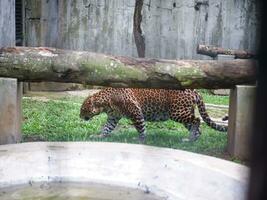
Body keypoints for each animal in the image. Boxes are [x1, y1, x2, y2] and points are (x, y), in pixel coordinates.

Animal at [80, 88, 228, 142]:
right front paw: (99, 136)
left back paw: (191, 138)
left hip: (177, 112)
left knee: (196, 120)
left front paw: (140, 139)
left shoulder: (135, 113)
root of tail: (195, 90)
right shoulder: (113, 117)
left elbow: (141, 127)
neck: (105, 103)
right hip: (184, 112)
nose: (80, 116)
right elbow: (107, 128)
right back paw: (192, 139)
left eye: (82, 109)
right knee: (195, 125)